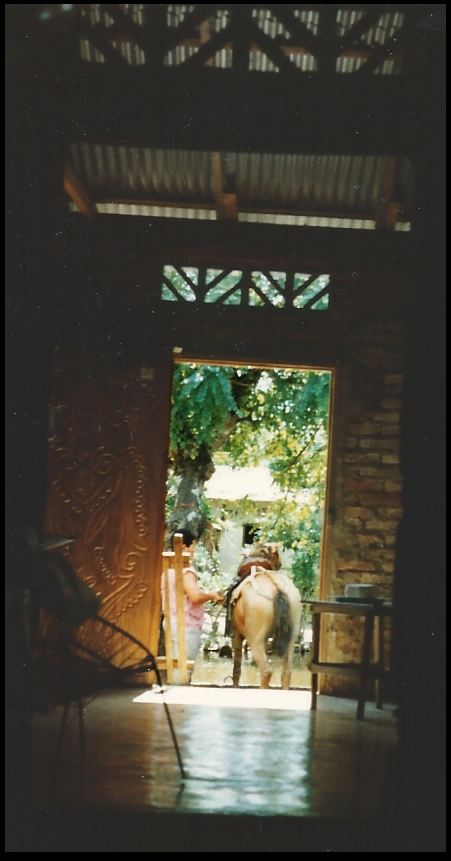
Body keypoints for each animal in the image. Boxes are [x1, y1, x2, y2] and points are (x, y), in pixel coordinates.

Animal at [230, 544, 304, 692]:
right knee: (286, 672)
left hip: (254, 639)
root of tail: (277, 588)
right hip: (291, 636)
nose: (279, 565)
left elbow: (237, 667)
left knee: (266, 670)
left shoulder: (236, 635)